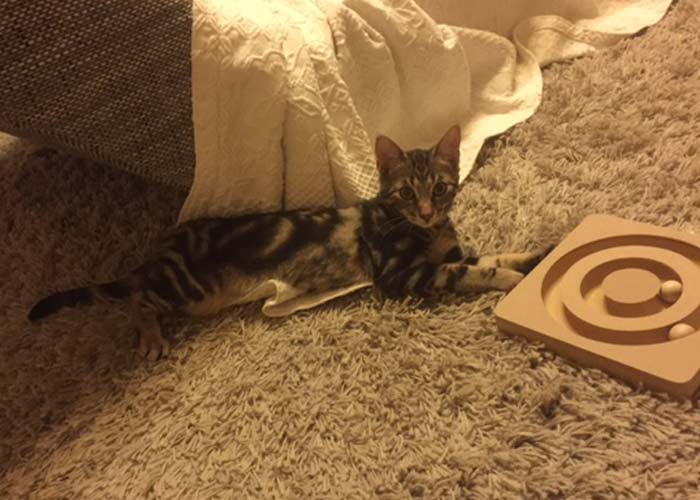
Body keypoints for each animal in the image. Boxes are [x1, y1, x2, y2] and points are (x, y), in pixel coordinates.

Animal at [28, 126, 548, 360]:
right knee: (137, 297)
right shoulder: (402, 273)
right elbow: (469, 270)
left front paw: (536, 256)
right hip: (187, 287)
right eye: (406, 193)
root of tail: (163, 250)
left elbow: (496, 252)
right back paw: (151, 336)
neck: (426, 230)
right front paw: (506, 279)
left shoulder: (449, 251)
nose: (426, 211)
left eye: (439, 188)